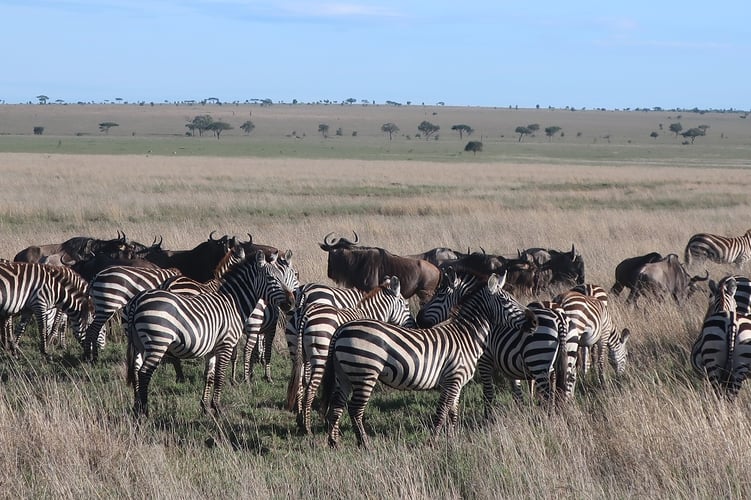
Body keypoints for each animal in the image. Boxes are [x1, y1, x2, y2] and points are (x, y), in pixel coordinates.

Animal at [126, 249, 294, 417]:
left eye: (282, 277)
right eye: (271, 278)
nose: (291, 302)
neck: (234, 304)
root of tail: (137, 300)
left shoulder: (212, 349)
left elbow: (209, 376)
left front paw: (205, 407)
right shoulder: (226, 344)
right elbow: (220, 375)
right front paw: (218, 407)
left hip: (139, 344)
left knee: (136, 371)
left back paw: (135, 408)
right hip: (158, 342)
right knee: (144, 373)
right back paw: (145, 411)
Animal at [288, 276, 415, 434]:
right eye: (406, 305)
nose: (415, 325)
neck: (368, 314)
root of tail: (305, 314)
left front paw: (328, 420)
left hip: (297, 353)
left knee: (299, 386)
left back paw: (300, 421)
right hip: (320, 354)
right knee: (310, 389)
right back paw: (308, 428)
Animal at [321, 273, 538, 449]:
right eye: (507, 302)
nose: (535, 322)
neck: (466, 336)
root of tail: (342, 329)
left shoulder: (454, 383)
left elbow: (452, 412)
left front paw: (452, 440)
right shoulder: (453, 379)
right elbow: (441, 412)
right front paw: (432, 442)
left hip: (345, 374)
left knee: (337, 405)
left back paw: (334, 443)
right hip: (365, 372)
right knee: (355, 409)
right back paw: (365, 444)